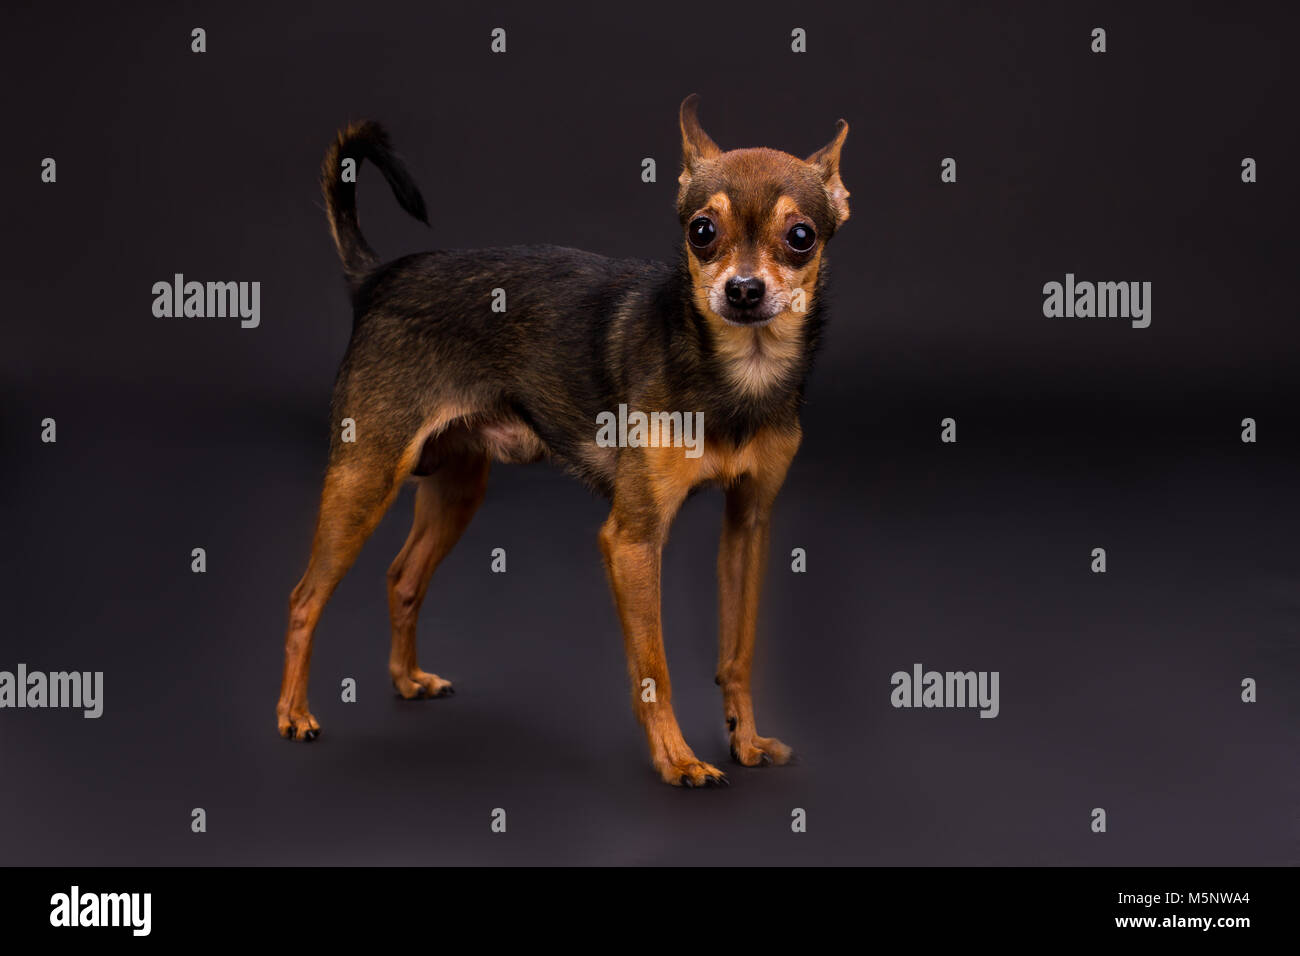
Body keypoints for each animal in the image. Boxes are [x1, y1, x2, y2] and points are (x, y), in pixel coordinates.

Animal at [276, 93, 852, 790]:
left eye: (801, 237)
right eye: (702, 232)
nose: (742, 290)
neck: (739, 372)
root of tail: (378, 277)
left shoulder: (748, 524)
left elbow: (736, 652)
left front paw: (745, 740)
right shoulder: (633, 540)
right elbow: (653, 669)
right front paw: (678, 759)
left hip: (459, 484)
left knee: (402, 576)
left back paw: (408, 680)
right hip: (365, 476)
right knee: (304, 598)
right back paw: (293, 715)